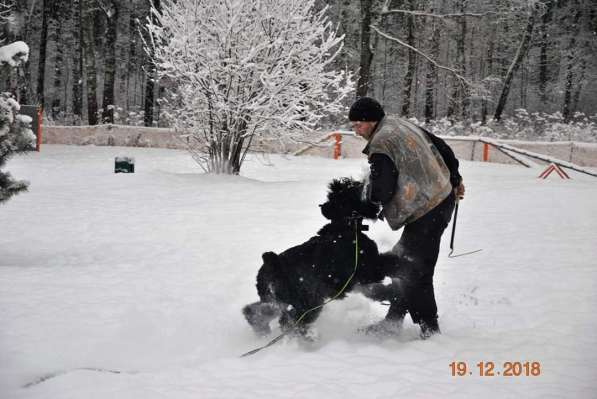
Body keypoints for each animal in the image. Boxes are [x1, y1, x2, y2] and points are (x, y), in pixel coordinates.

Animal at [242, 178, 396, 338]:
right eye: (355, 189)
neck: (345, 225)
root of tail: (272, 262)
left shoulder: (358, 282)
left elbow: (376, 291)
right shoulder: (370, 270)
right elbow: (389, 263)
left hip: (276, 300)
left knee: (256, 311)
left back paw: (262, 331)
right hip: (308, 302)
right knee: (290, 322)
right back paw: (306, 339)